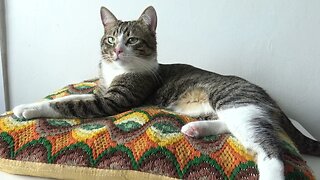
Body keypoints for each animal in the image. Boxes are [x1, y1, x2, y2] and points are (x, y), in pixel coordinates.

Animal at [13, 5, 320, 180]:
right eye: (110, 39)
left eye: (132, 40)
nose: (117, 50)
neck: (117, 70)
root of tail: (267, 95)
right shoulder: (100, 91)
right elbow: (71, 97)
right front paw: (34, 103)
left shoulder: (116, 99)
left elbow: (70, 105)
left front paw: (26, 109)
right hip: (232, 107)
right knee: (235, 127)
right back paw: (195, 129)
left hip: (233, 99)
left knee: (268, 147)